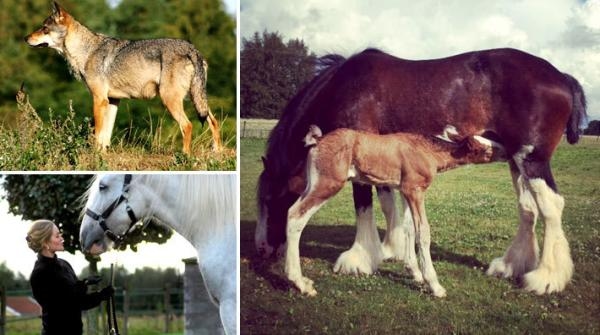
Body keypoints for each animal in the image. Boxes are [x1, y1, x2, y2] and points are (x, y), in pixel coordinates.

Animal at [25, 1, 223, 155]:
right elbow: (106, 135)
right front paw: (103, 155)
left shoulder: (99, 99)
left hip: (171, 100)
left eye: (44, 29)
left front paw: (94, 155)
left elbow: (97, 133)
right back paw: (217, 152)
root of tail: (193, 49)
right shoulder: (113, 101)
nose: (25, 38)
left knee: (188, 125)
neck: (86, 51)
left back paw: (184, 156)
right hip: (195, 98)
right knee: (213, 121)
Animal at [286, 125, 506, 296]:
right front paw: (435, 285)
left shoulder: (405, 190)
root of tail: (317, 141)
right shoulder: (415, 190)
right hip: (329, 183)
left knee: (291, 211)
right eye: (486, 149)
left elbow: (408, 228)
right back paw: (300, 283)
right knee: (296, 217)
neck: (428, 153)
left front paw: (415, 273)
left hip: (313, 185)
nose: (507, 149)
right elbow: (423, 232)